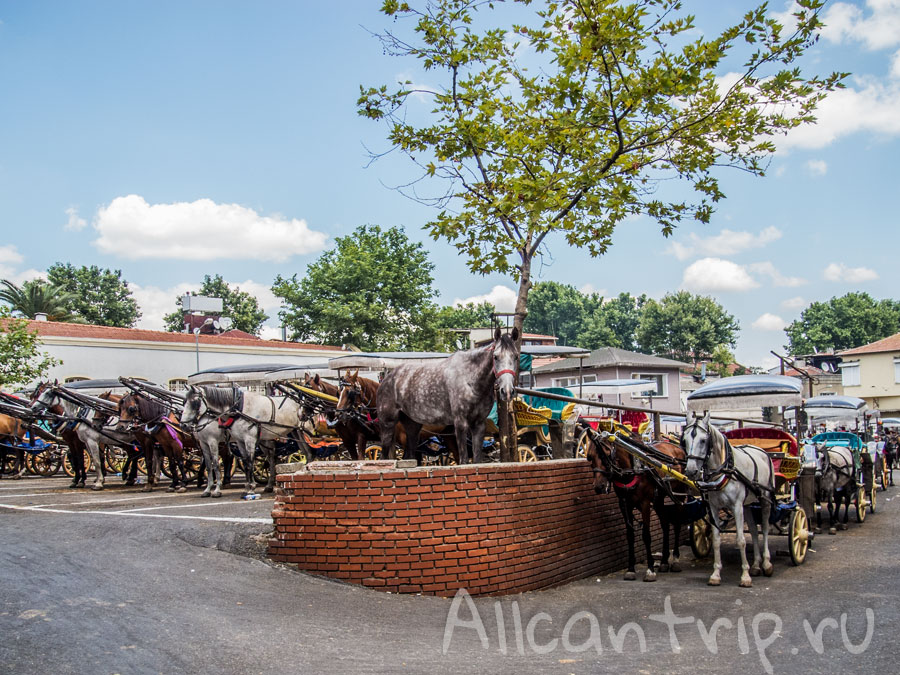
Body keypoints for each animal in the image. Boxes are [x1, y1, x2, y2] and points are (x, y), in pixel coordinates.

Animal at [378, 328, 520, 464]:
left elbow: (477, 460)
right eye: (495, 357)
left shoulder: (479, 424)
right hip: (388, 425)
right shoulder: (460, 423)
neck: (470, 380)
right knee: (384, 457)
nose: (507, 391)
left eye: (516, 357)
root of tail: (387, 378)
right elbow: (464, 460)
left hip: (413, 428)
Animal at [580, 426, 684, 584]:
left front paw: (650, 570)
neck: (631, 471)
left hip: (679, 494)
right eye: (590, 457)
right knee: (665, 524)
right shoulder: (624, 504)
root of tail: (677, 448)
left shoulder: (645, 503)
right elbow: (630, 535)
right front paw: (630, 569)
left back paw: (676, 559)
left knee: (677, 524)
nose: (599, 486)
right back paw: (664, 561)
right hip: (659, 499)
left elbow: (646, 535)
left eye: (607, 454)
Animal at [684, 410, 772, 588]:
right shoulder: (714, 508)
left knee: (765, 529)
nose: (690, 471)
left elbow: (741, 540)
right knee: (754, 530)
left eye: (703, 440)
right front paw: (716, 574)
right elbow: (717, 540)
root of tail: (760, 450)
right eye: (684, 440)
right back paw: (756, 565)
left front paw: (745, 576)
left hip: (764, 499)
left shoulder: (736, 506)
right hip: (748, 504)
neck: (723, 471)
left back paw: (766, 563)